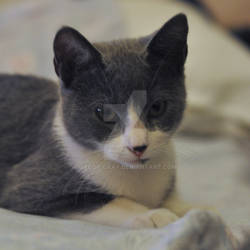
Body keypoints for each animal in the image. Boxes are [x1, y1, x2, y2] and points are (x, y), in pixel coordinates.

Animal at [0, 13, 193, 229]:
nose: (138, 147)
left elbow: (173, 199)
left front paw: (192, 208)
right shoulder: (26, 184)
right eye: (105, 112)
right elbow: (102, 199)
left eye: (157, 107)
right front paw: (154, 215)